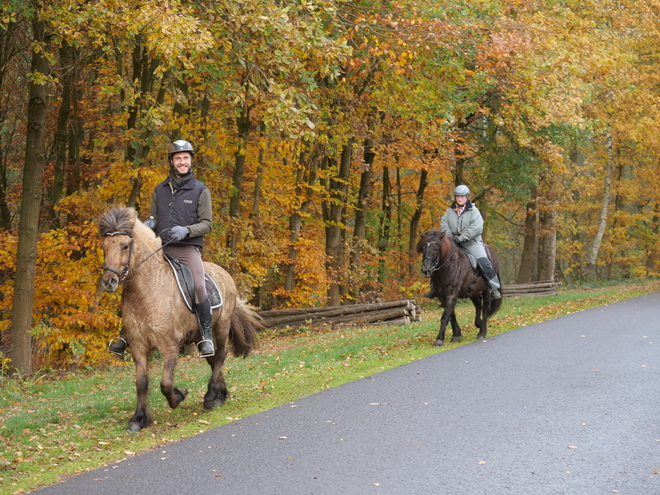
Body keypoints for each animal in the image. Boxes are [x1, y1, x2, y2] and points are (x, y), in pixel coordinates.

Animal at [99, 207, 262, 432]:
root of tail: (224, 273)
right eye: (104, 247)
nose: (109, 282)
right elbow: (141, 382)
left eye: (124, 246)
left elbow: (165, 383)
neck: (148, 290)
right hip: (199, 336)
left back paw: (211, 396)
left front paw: (178, 397)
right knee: (212, 359)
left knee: (220, 356)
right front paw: (138, 419)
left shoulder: (170, 345)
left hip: (221, 327)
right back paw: (220, 394)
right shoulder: (138, 345)